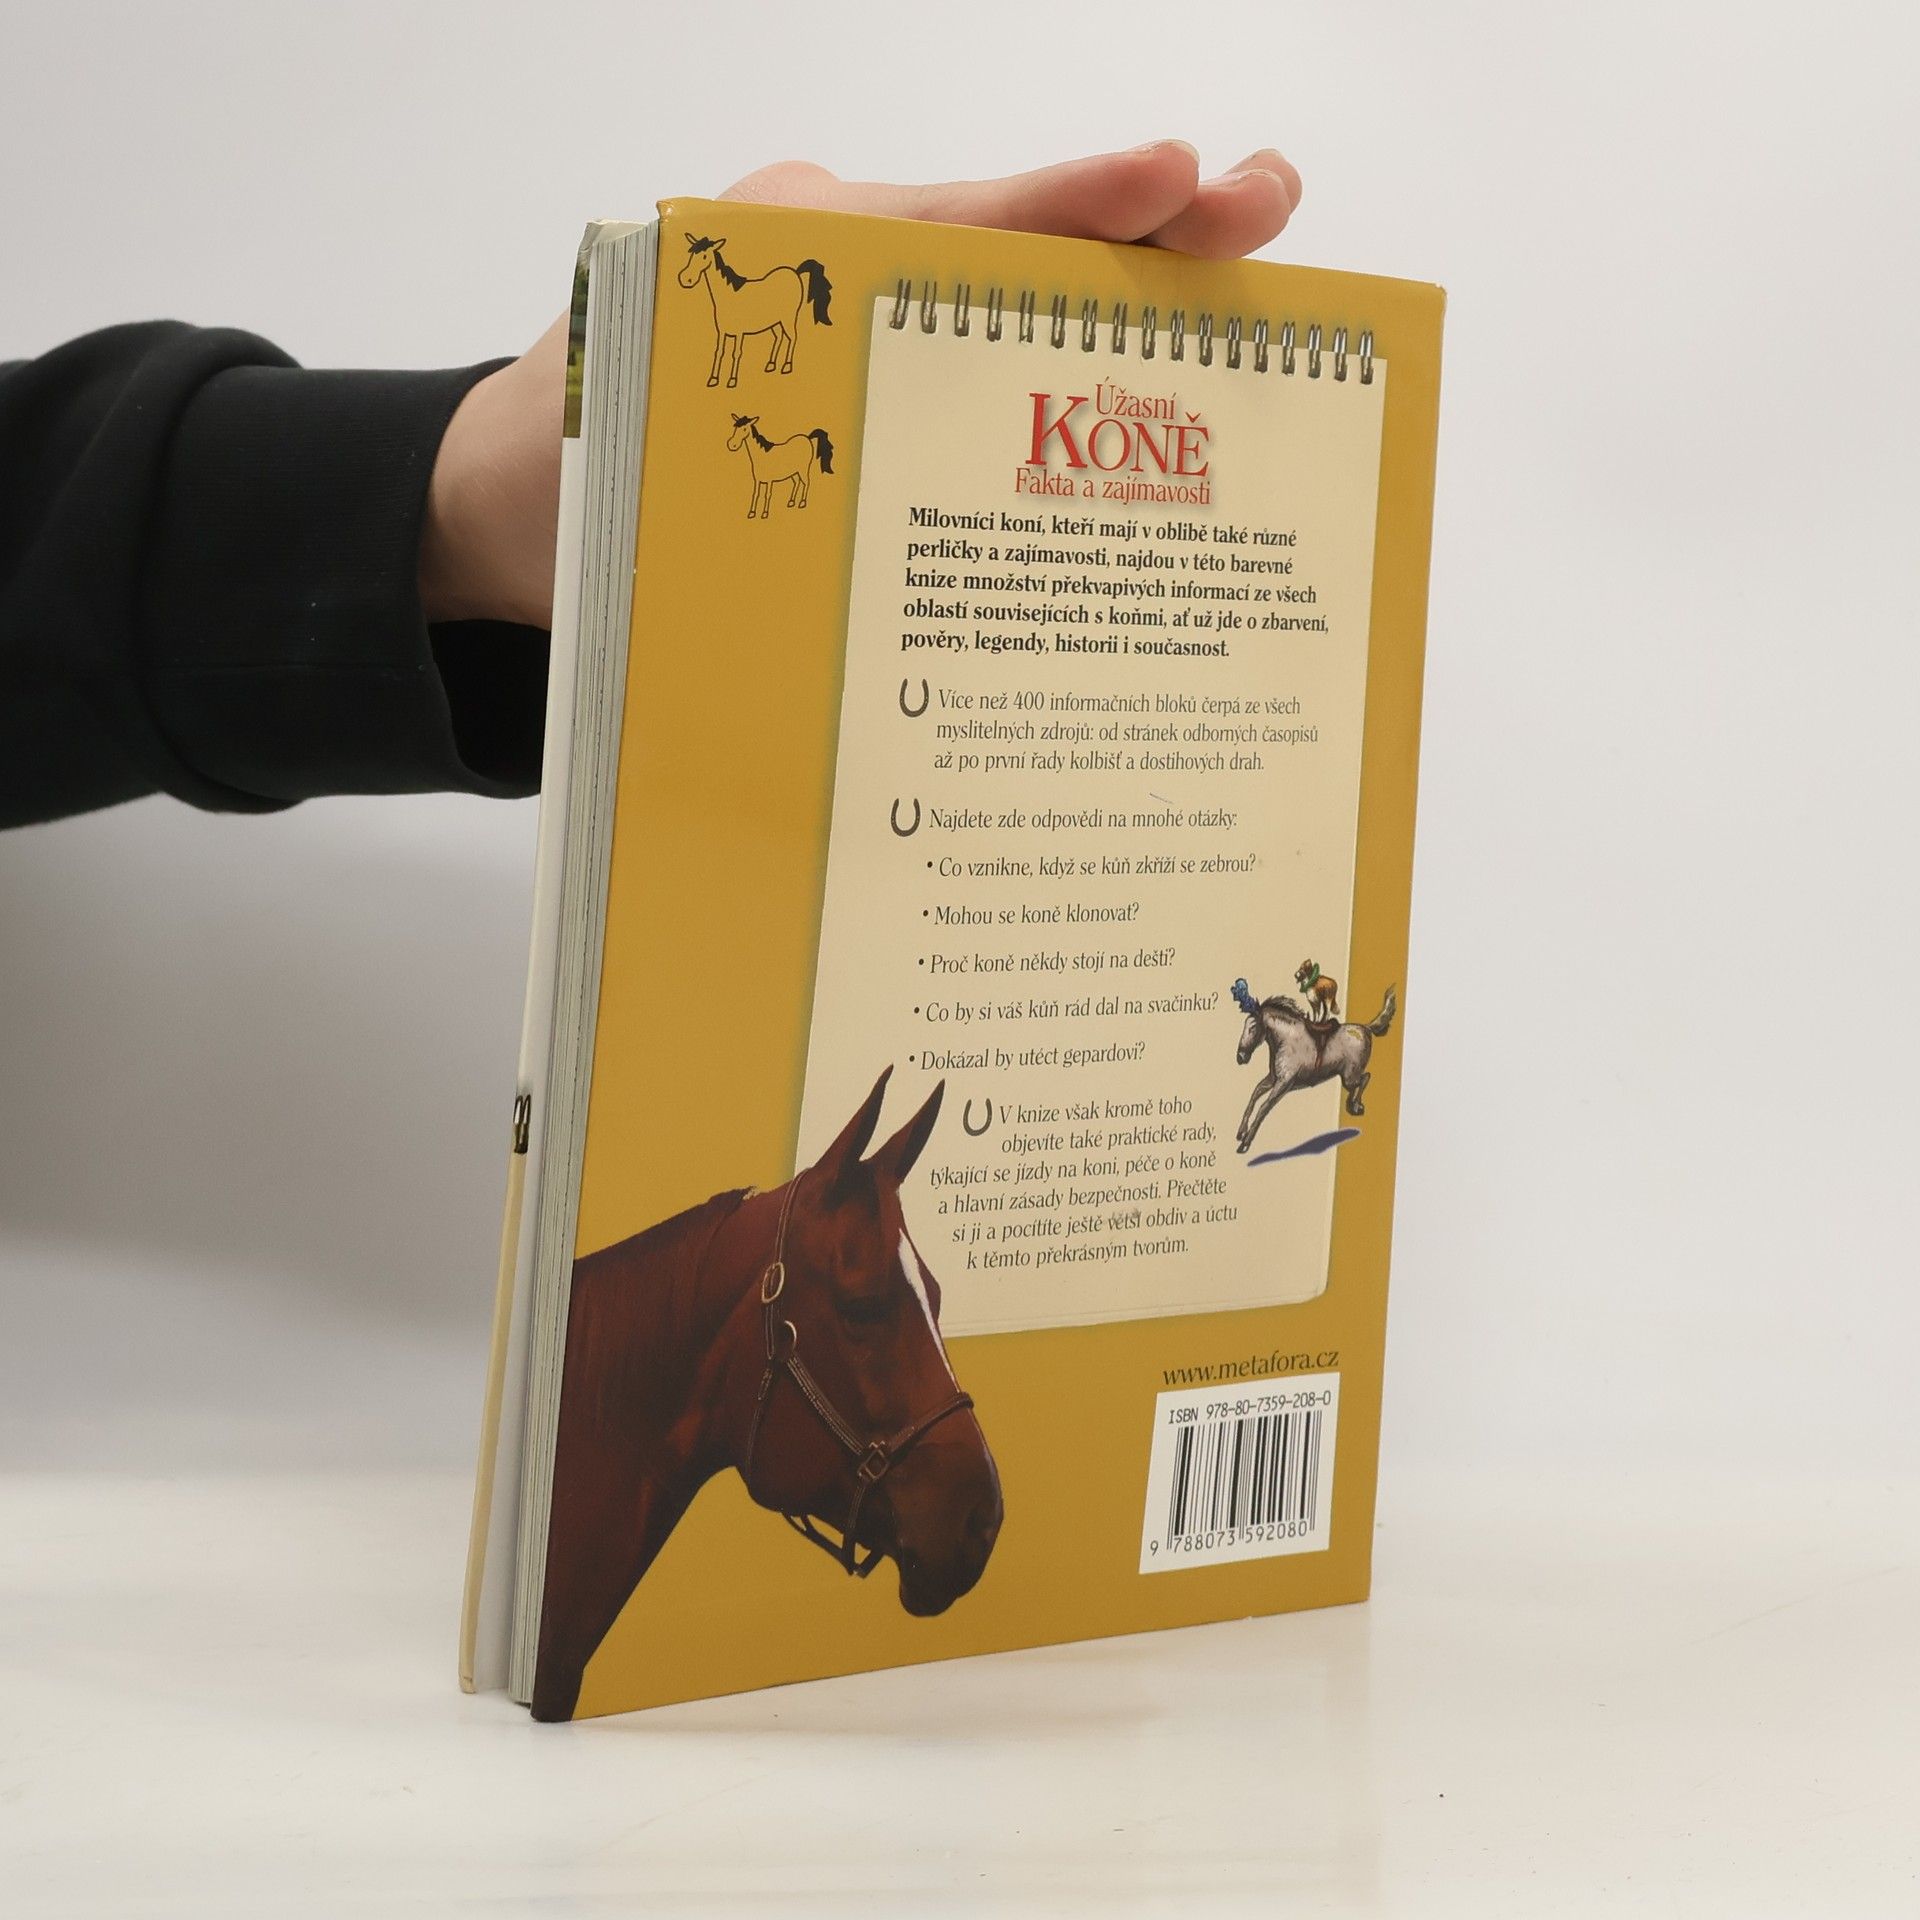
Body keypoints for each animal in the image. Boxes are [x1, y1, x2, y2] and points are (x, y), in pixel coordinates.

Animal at [677, 231, 833, 388]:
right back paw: (771, 364)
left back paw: (786, 366)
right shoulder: (721, 331)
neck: (729, 295)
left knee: (793, 337)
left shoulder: (739, 333)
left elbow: (736, 353)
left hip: (789, 318)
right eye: (692, 254)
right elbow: (719, 351)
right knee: (779, 337)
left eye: (704, 256)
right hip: (775, 322)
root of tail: (795, 272)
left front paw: (732, 380)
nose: (685, 279)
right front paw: (713, 379)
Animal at [1231, 978, 1398, 1155]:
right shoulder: (1273, 1079)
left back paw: (1356, 1106)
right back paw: (1351, 1104)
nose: (1240, 1057)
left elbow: (1263, 1108)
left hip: (1349, 1077)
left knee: (1365, 1078)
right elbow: (1254, 1095)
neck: (1287, 1040)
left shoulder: (1284, 1083)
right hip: (1347, 1077)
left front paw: (1245, 1143)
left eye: (1252, 1027)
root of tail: (1366, 1028)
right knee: (1362, 1081)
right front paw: (1241, 1132)